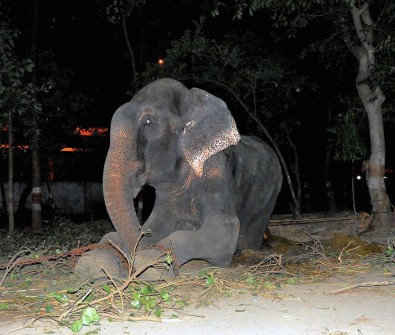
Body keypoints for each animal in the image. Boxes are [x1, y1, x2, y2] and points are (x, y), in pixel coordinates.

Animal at [75, 78, 284, 280]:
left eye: (148, 122)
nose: (129, 265)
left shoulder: (216, 169)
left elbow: (224, 229)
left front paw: (151, 263)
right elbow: (153, 226)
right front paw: (93, 262)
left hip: (271, 192)